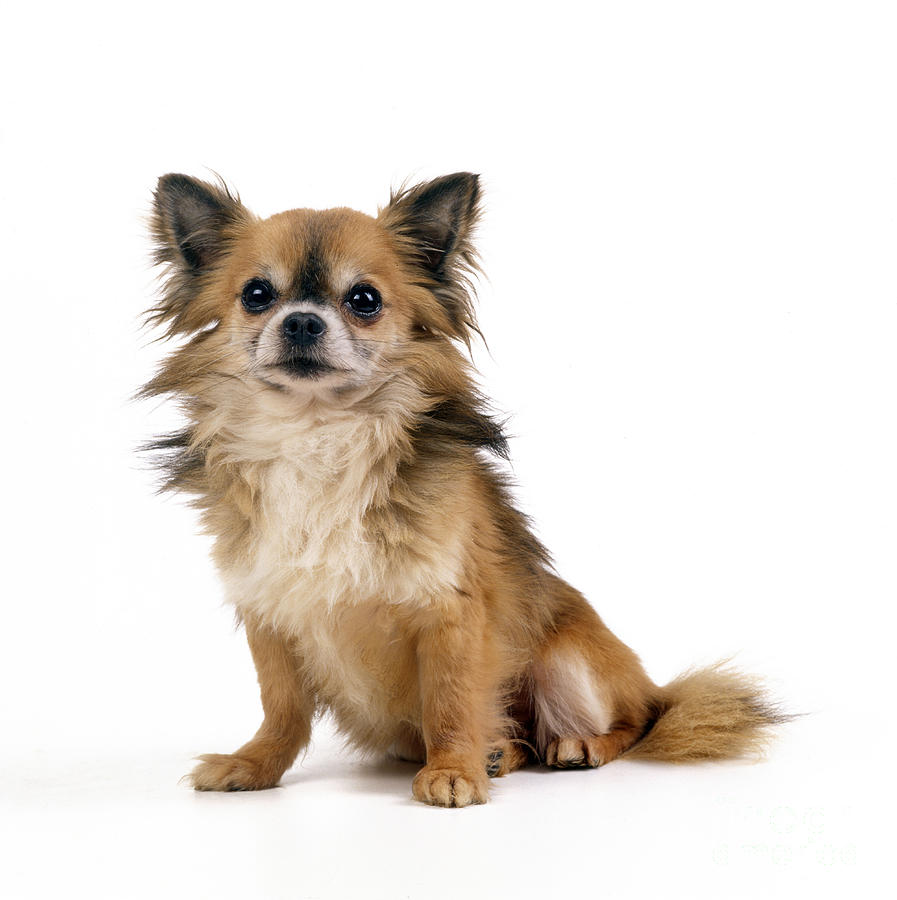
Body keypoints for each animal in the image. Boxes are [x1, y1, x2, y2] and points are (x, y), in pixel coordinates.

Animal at [142, 172, 784, 804]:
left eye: (364, 300)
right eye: (256, 295)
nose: (301, 320)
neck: (318, 430)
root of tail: (653, 688)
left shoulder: (449, 612)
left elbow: (450, 701)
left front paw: (452, 769)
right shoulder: (270, 611)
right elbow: (282, 709)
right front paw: (255, 764)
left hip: (568, 662)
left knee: (634, 723)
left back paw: (578, 745)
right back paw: (500, 753)